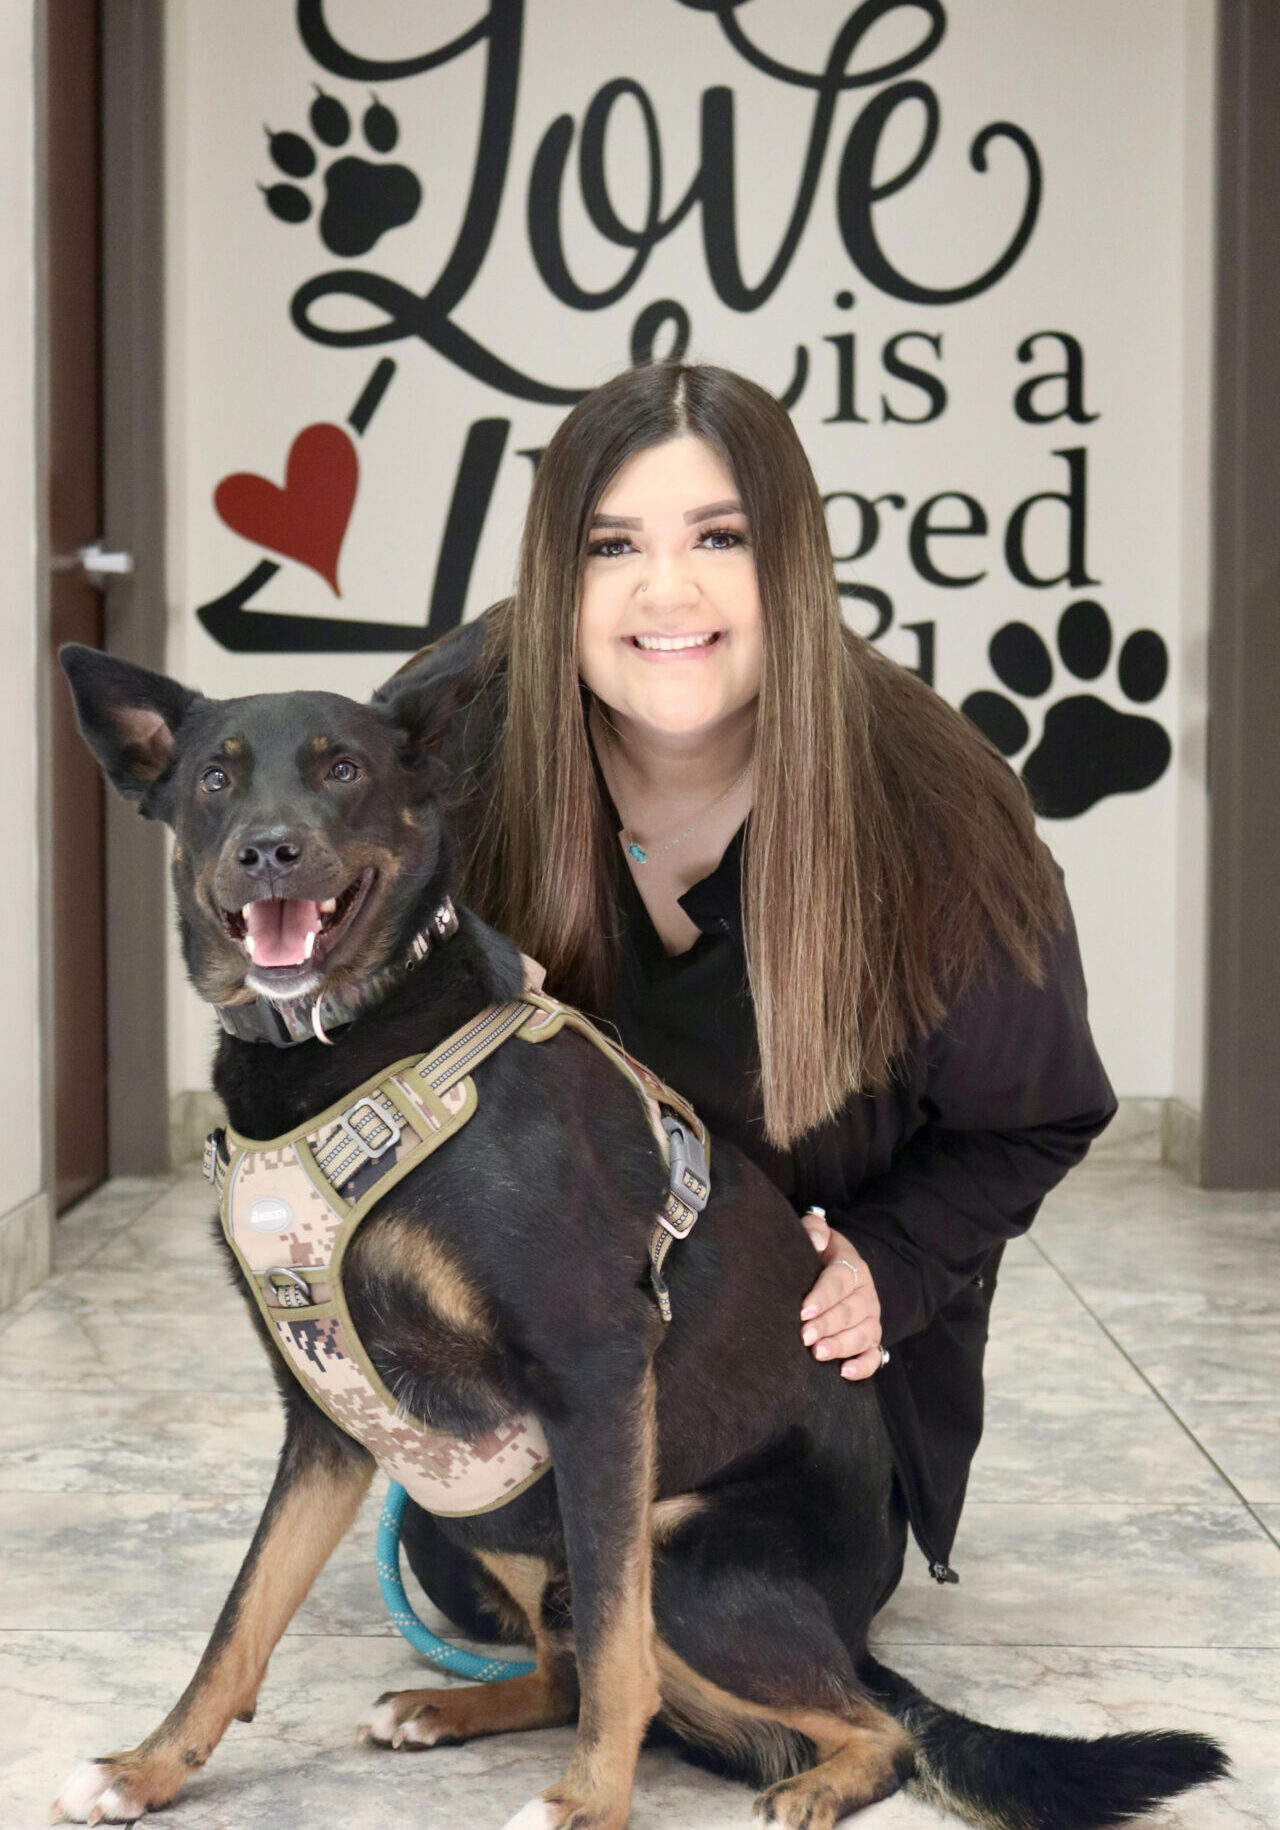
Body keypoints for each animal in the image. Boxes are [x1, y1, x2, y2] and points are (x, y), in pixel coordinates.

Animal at [52, 647, 1230, 1830]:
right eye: (214, 779)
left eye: (342, 769)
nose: (268, 851)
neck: (349, 1042)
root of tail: (854, 1632)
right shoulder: (328, 1421)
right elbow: (239, 1619)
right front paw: (146, 1769)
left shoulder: (596, 1372)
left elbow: (621, 1648)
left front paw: (587, 1804)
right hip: (476, 1512)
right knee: (571, 1659)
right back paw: (444, 1708)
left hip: (679, 1548)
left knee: (865, 1724)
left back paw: (813, 1784)